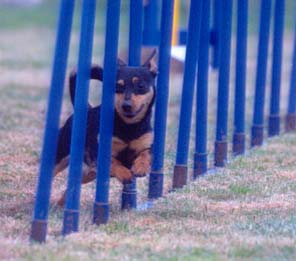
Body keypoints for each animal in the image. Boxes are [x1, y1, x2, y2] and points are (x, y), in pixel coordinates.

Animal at [54, 50, 158, 203]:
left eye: (140, 86)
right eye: (118, 87)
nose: (126, 105)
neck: (129, 127)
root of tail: (88, 109)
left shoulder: (147, 145)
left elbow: (146, 154)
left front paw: (140, 167)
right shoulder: (100, 153)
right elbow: (113, 162)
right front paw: (125, 173)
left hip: (89, 173)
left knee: (73, 185)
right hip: (62, 157)